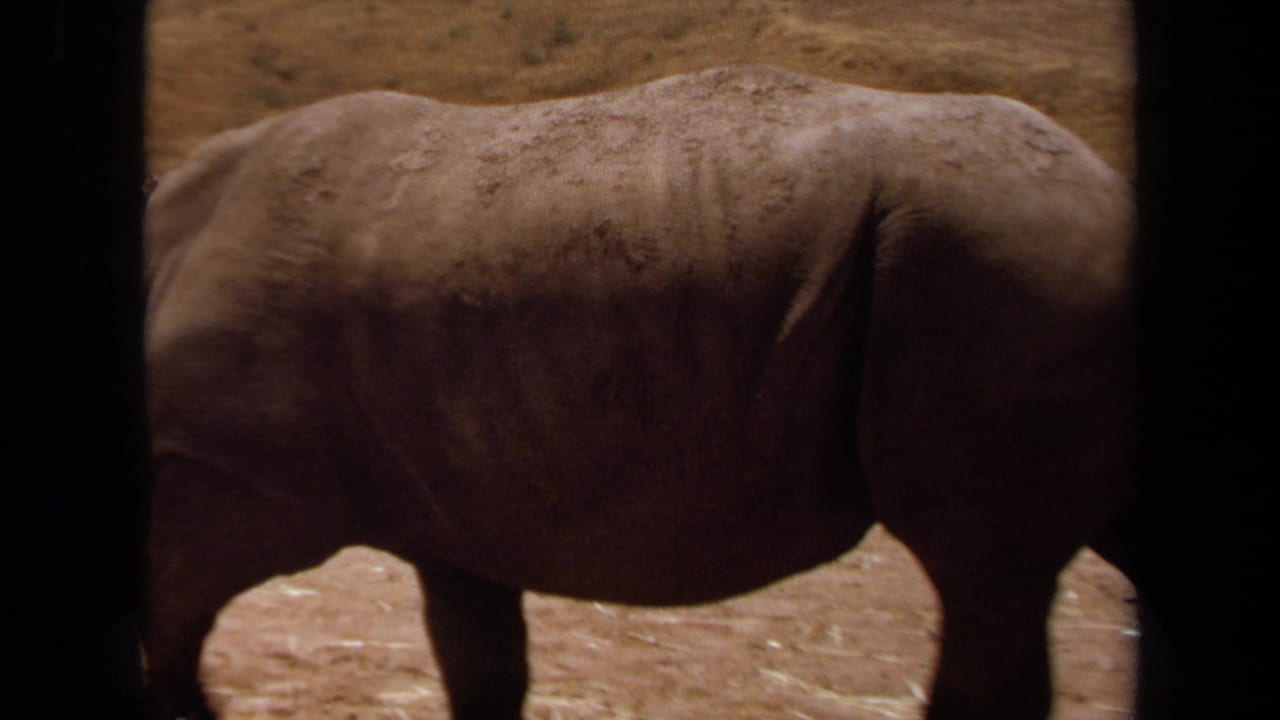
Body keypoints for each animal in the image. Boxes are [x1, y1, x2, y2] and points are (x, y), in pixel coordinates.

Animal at [143, 65, 1134, 719]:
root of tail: (1106, 188)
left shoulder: (235, 472)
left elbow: (169, 620)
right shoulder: (450, 497)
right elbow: (483, 664)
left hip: (1001, 262)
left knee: (981, 570)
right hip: (1015, 264)